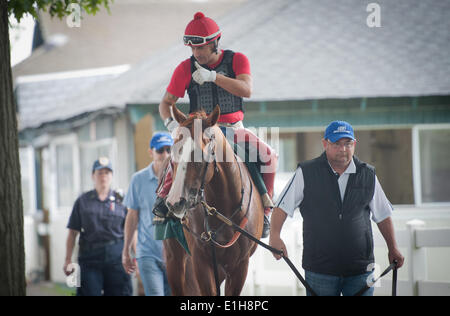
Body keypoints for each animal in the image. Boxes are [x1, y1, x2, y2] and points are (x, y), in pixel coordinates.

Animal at [163, 105, 264, 296]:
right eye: (173, 152)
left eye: (199, 154)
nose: (174, 203)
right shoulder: (201, 261)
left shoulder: (240, 266)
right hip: (174, 259)